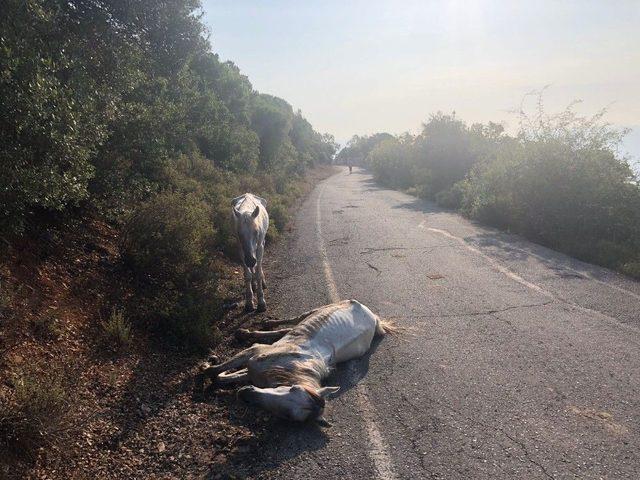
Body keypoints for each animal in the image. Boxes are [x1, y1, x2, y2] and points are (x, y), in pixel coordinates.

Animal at [198, 298, 392, 426]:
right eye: (293, 388)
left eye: (288, 416)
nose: (245, 394)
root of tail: (374, 317)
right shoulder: (254, 353)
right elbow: (216, 371)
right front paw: (208, 363)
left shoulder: (254, 367)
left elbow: (220, 376)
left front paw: (210, 366)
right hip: (316, 310)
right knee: (292, 321)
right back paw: (257, 326)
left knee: (286, 330)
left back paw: (248, 332)